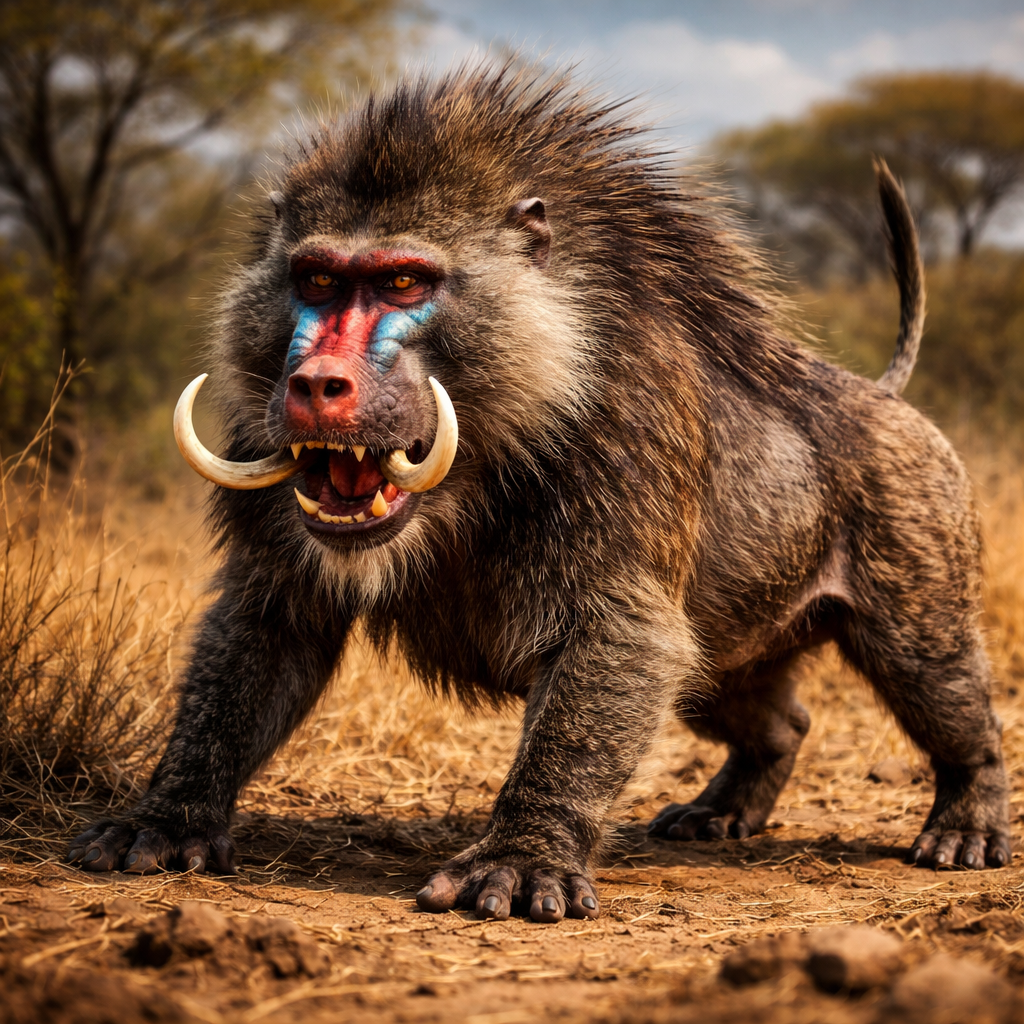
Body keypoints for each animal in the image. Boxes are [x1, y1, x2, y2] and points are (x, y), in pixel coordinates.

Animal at [67, 64, 1011, 924]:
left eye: (403, 281)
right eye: (319, 280)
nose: (315, 384)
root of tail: (881, 396)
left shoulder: (620, 479)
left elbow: (606, 665)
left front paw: (520, 862)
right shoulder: (273, 555)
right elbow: (252, 649)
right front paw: (166, 819)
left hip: (914, 614)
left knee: (952, 704)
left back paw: (967, 824)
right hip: (733, 660)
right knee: (781, 725)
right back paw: (722, 812)